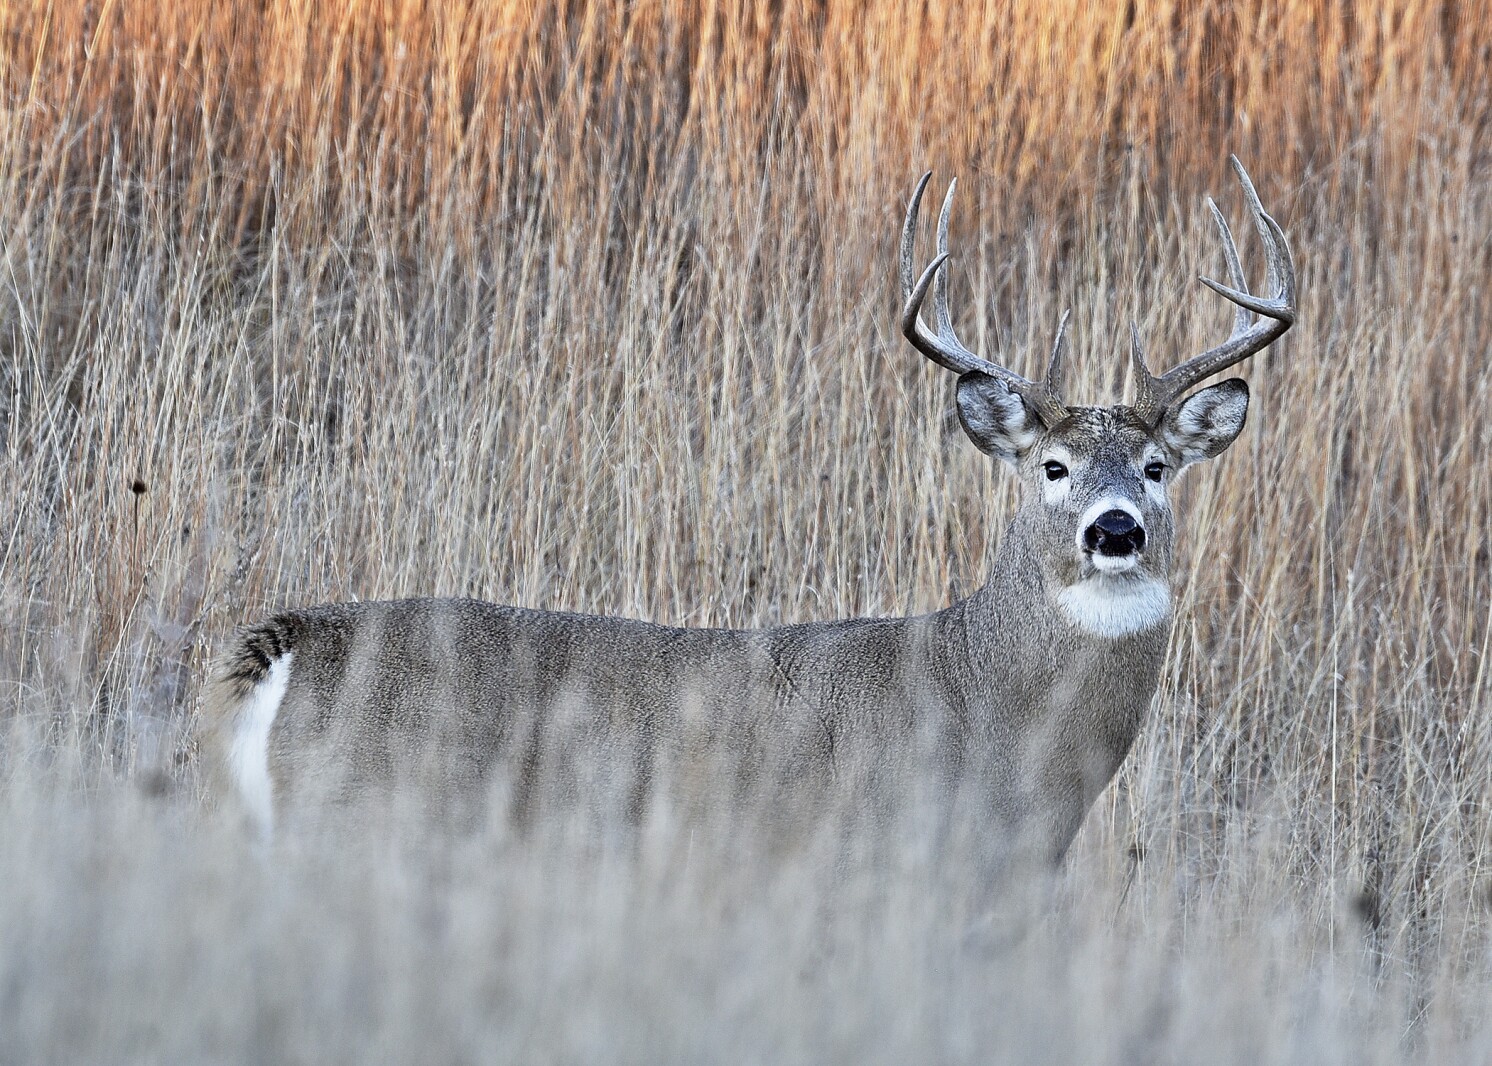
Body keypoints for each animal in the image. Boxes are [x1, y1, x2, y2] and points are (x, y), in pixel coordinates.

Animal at [199, 157, 1296, 864]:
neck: (994, 708)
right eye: (1054, 467)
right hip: (355, 823)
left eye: (1157, 467)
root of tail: (295, 639)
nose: (1114, 528)